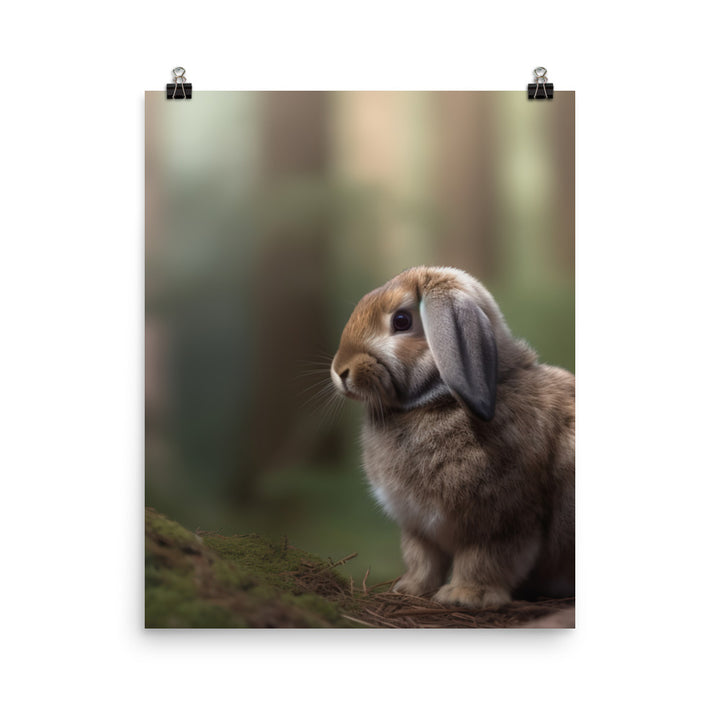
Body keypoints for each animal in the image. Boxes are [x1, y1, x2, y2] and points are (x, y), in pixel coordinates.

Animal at [330, 266, 574, 609]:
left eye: (401, 321)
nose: (340, 371)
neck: (437, 398)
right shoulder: (418, 528)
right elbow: (422, 560)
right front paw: (409, 589)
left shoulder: (502, 523)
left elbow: (483, 559)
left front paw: (464, 596)